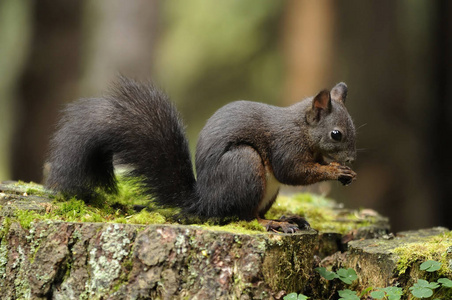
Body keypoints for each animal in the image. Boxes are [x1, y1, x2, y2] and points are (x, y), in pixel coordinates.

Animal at [46, 77, 356, 232]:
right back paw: (271, 223)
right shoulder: (285, 144)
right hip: (244, 165)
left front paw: (343, 171)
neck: (302, 128)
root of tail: (205, 202)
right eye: (336, 134)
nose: (351, 159)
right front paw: (335, 170)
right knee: (242, 217)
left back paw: (287, 218)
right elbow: (291, 171)